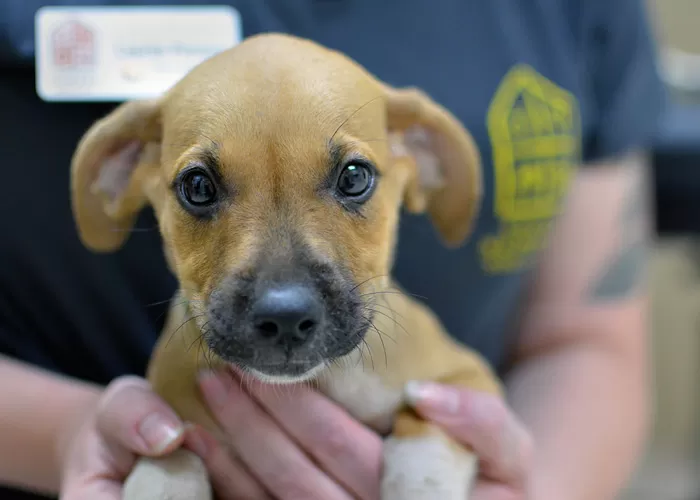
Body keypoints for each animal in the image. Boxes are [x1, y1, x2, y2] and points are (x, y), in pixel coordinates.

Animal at [71, 33, 504, 498]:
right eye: (198, 186)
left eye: (355, 177)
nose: (285, 318)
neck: (321, 381)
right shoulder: (168, 407)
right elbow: (169, 457)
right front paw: (163, 482)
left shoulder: (463, 380)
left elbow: (424, 439)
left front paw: (420, 485)